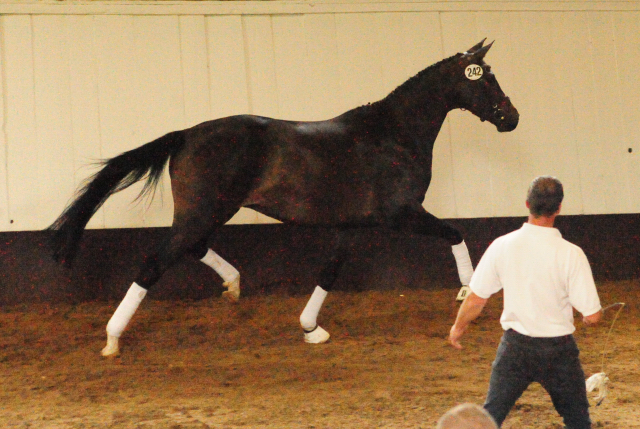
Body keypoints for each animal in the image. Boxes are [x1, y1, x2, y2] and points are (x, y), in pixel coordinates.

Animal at [50, 40, 520, 354]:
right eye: (487, 77)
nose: (511, 118)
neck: (394, 134)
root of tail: (184, 135)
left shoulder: (350, 224)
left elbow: (329, 271)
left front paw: (311, 328)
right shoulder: (402, 212)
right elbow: (456, 234)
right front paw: (466, 291)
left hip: (204, 213)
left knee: (192, 249)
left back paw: (233, 286)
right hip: (204, 211)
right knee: (153, 264)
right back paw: (112, 339)